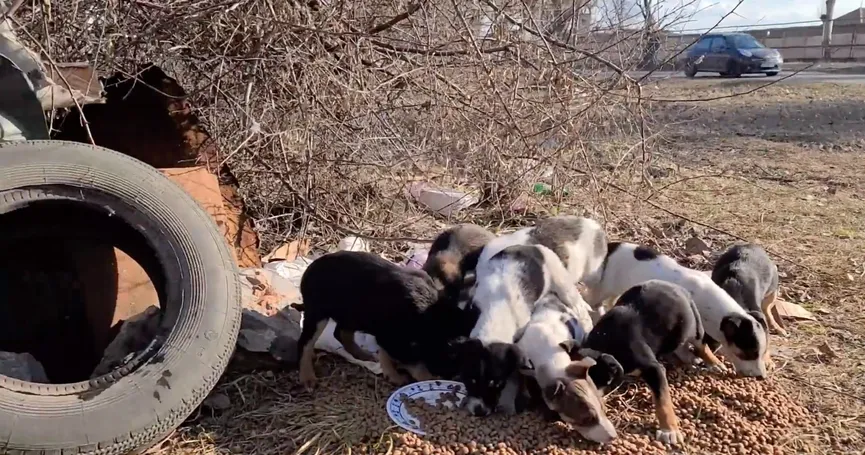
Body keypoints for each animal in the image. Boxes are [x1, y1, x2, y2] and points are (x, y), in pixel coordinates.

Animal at [560, 280, 704, 448]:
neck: (608, 344)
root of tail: (679, 288)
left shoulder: (653, 368)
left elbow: (662, 399)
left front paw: (669, 431)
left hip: (689, 328)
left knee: (699, 343)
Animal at [584, 244, 768, 380]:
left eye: (762, 352)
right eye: (750, 353)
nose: (761, 377)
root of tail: (610, 246)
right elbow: (691, 347)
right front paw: (706, 361)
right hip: (602, 289)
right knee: (591, 301)